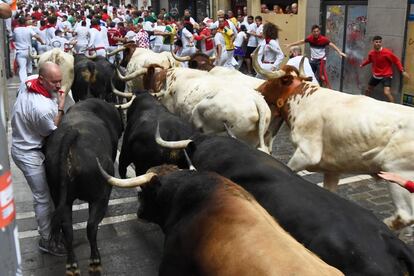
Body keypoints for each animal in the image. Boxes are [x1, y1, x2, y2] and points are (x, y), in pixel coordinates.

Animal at [45, 98, 123, 274]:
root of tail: (73, 134)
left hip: (61, 197)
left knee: (67, 228)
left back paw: (72, 265)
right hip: (99, 197)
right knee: (91, 226)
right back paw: (95, 261)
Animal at [258, 59, 414, 230]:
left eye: (270, 80)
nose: (258, 89)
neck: (302, 99)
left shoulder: (307, 153)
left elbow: (287, 171)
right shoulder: (332, 168)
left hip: (399, 172)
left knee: (404, 216)